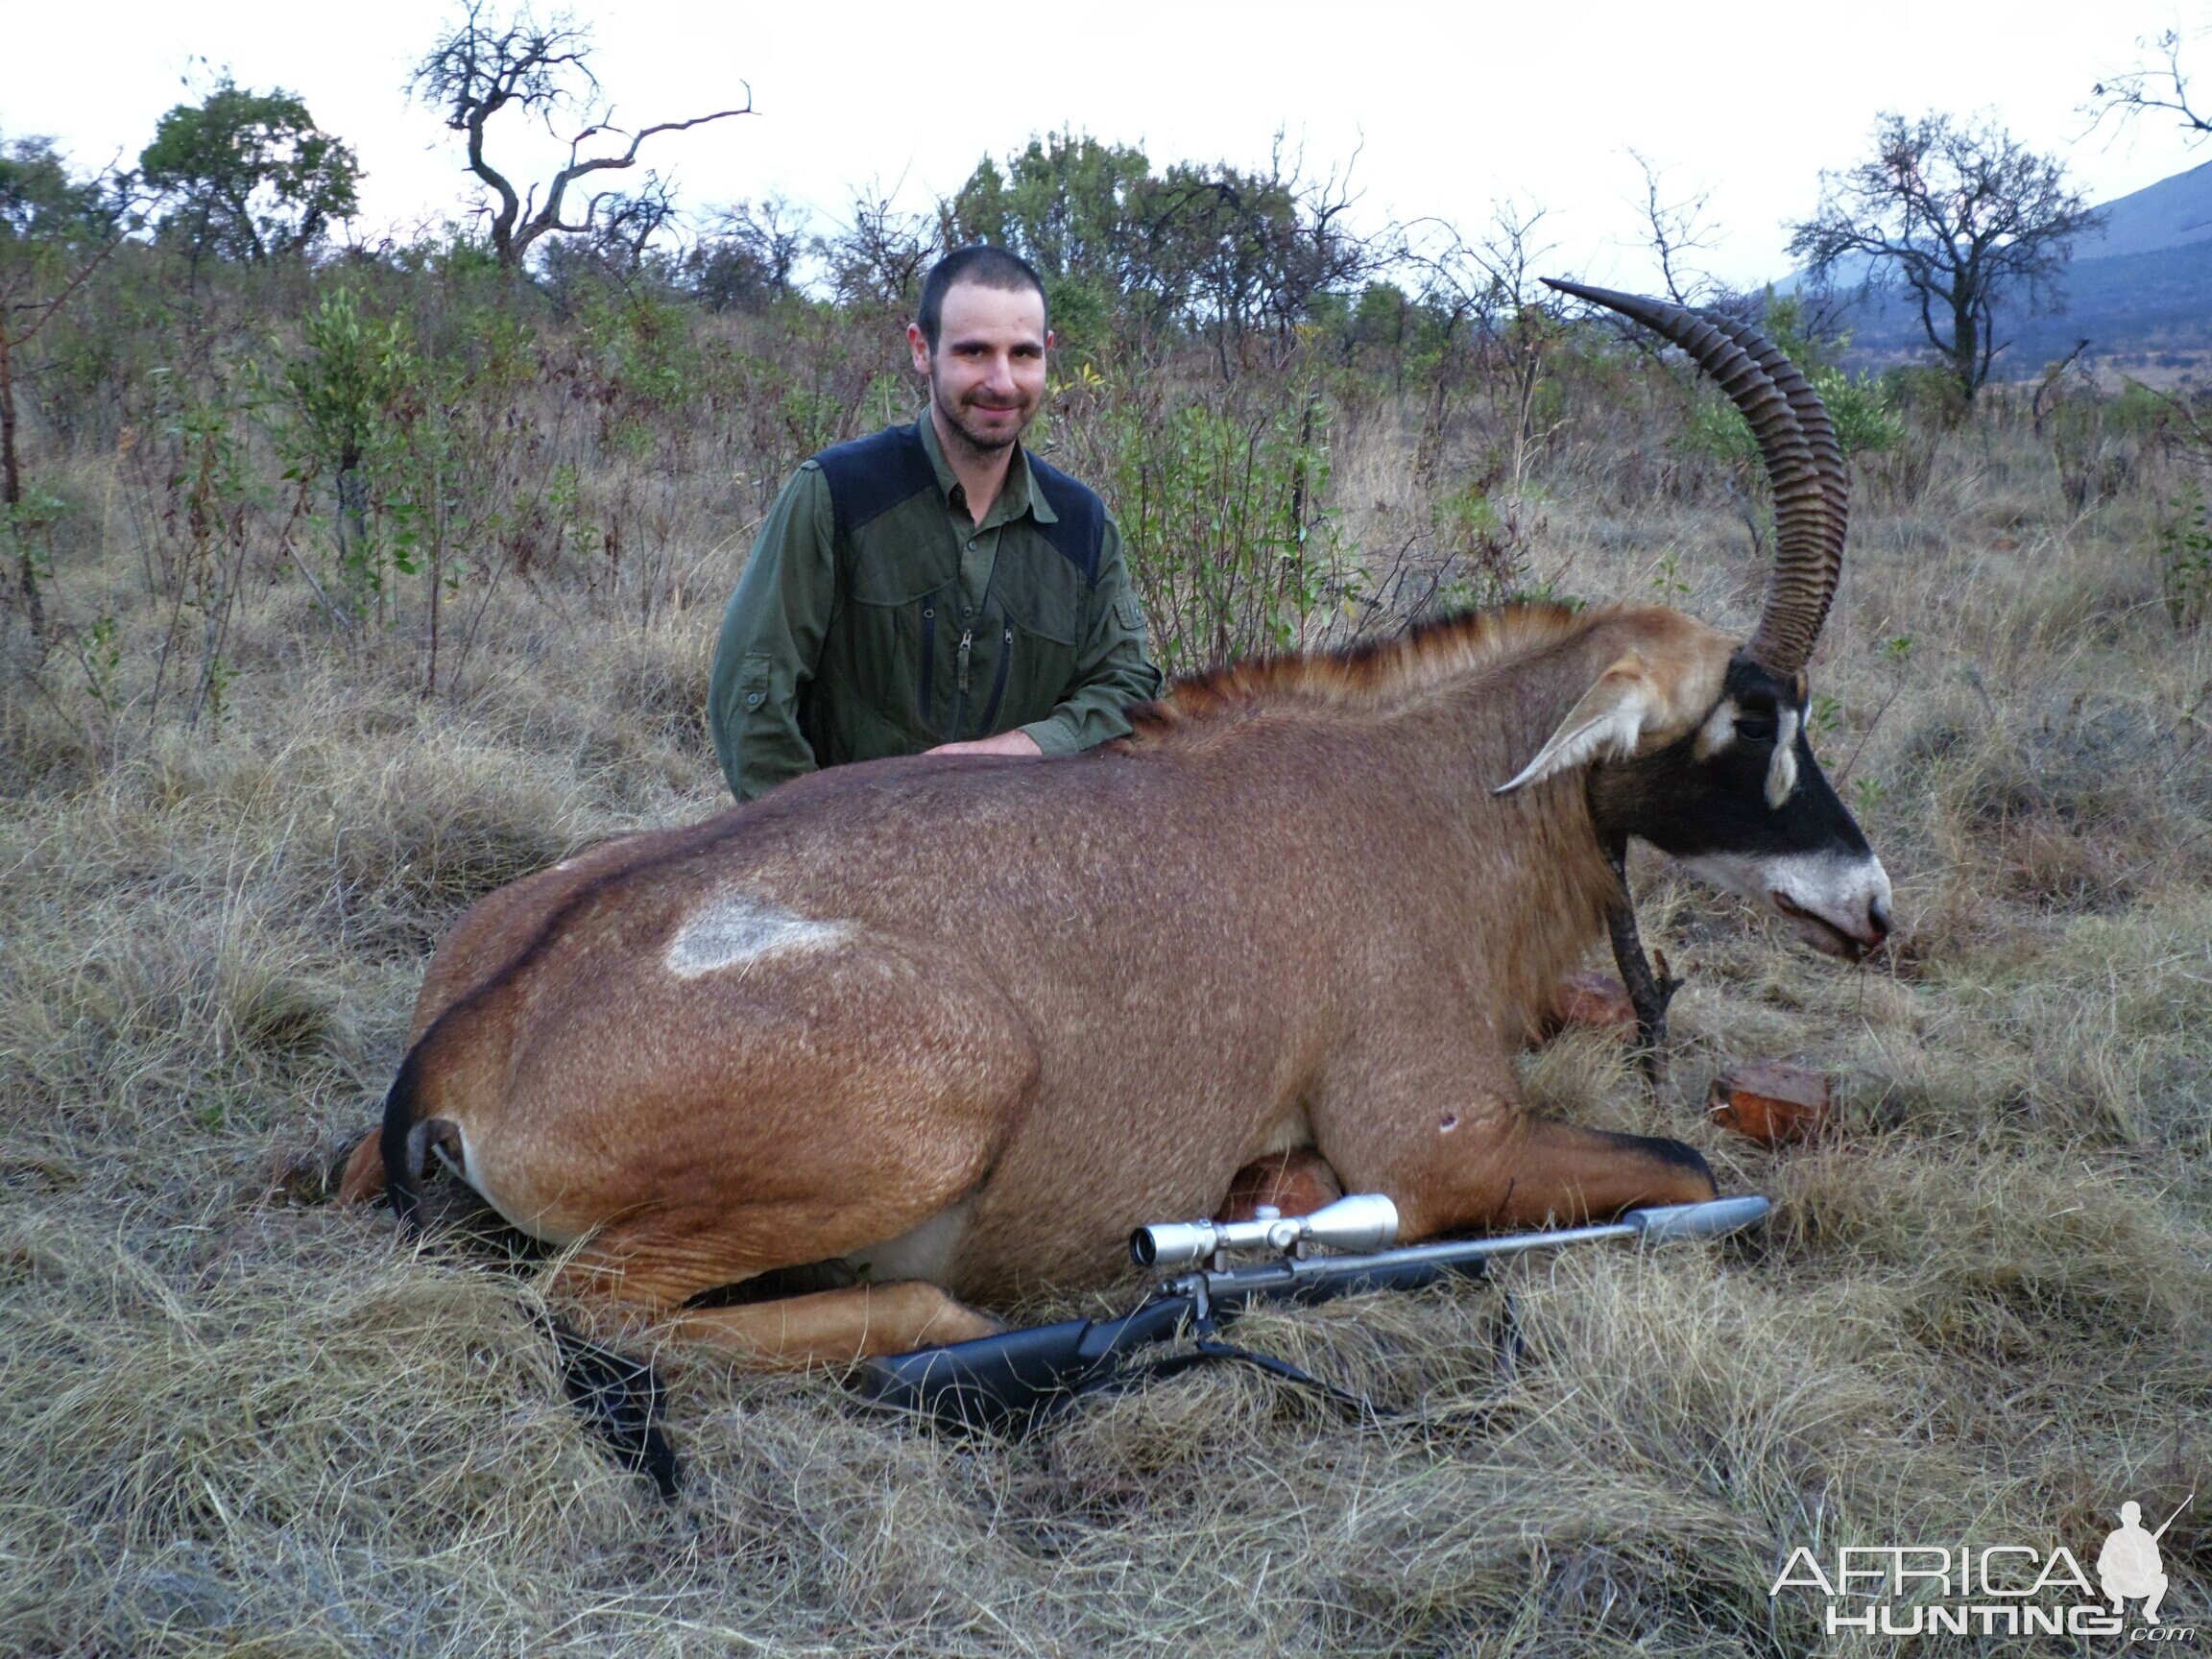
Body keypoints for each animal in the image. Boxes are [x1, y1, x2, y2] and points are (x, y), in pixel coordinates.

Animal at [336, 282, 1893, 1380]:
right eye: (1751, 718)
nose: (1874, 904)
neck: (1433, 791)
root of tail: (478, 1031)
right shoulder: (1437, 1144)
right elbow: (1689, 1171)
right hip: (949, 1084)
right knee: (592, 1302)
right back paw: (949, 1320)